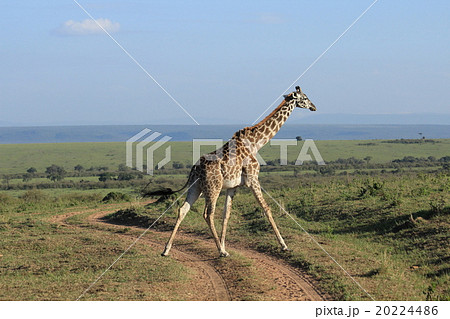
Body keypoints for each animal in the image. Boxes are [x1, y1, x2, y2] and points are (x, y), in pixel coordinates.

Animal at [158, 85, 316, 258]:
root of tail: (194, 169)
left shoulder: (232, 187)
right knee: (208, 213)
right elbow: (266, 208)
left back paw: (166, 249)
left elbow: (226, 214)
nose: (314, 107)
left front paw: (224, 244)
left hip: (197, 188)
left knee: (183, 210)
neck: (255, 143)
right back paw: (220, 252)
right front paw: (284, 245)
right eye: (305, 97)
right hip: (213, 187)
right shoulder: (253, 179)